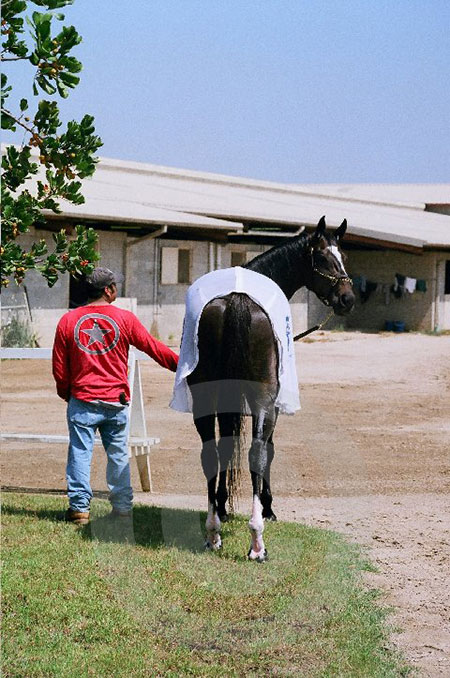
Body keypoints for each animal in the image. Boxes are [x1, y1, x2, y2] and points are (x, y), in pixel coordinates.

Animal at [186, 218, 356, 564]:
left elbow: (226, 447)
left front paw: (223, 506)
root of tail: (237, 301)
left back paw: (213, 532)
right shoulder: (272, 404)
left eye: (342, 255)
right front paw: (268, 507)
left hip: (205, 399)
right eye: (322, 258)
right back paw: (257, 542)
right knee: (257, 453)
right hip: (264, 402)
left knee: (211, 452)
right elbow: (269, 450)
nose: (347, 297)